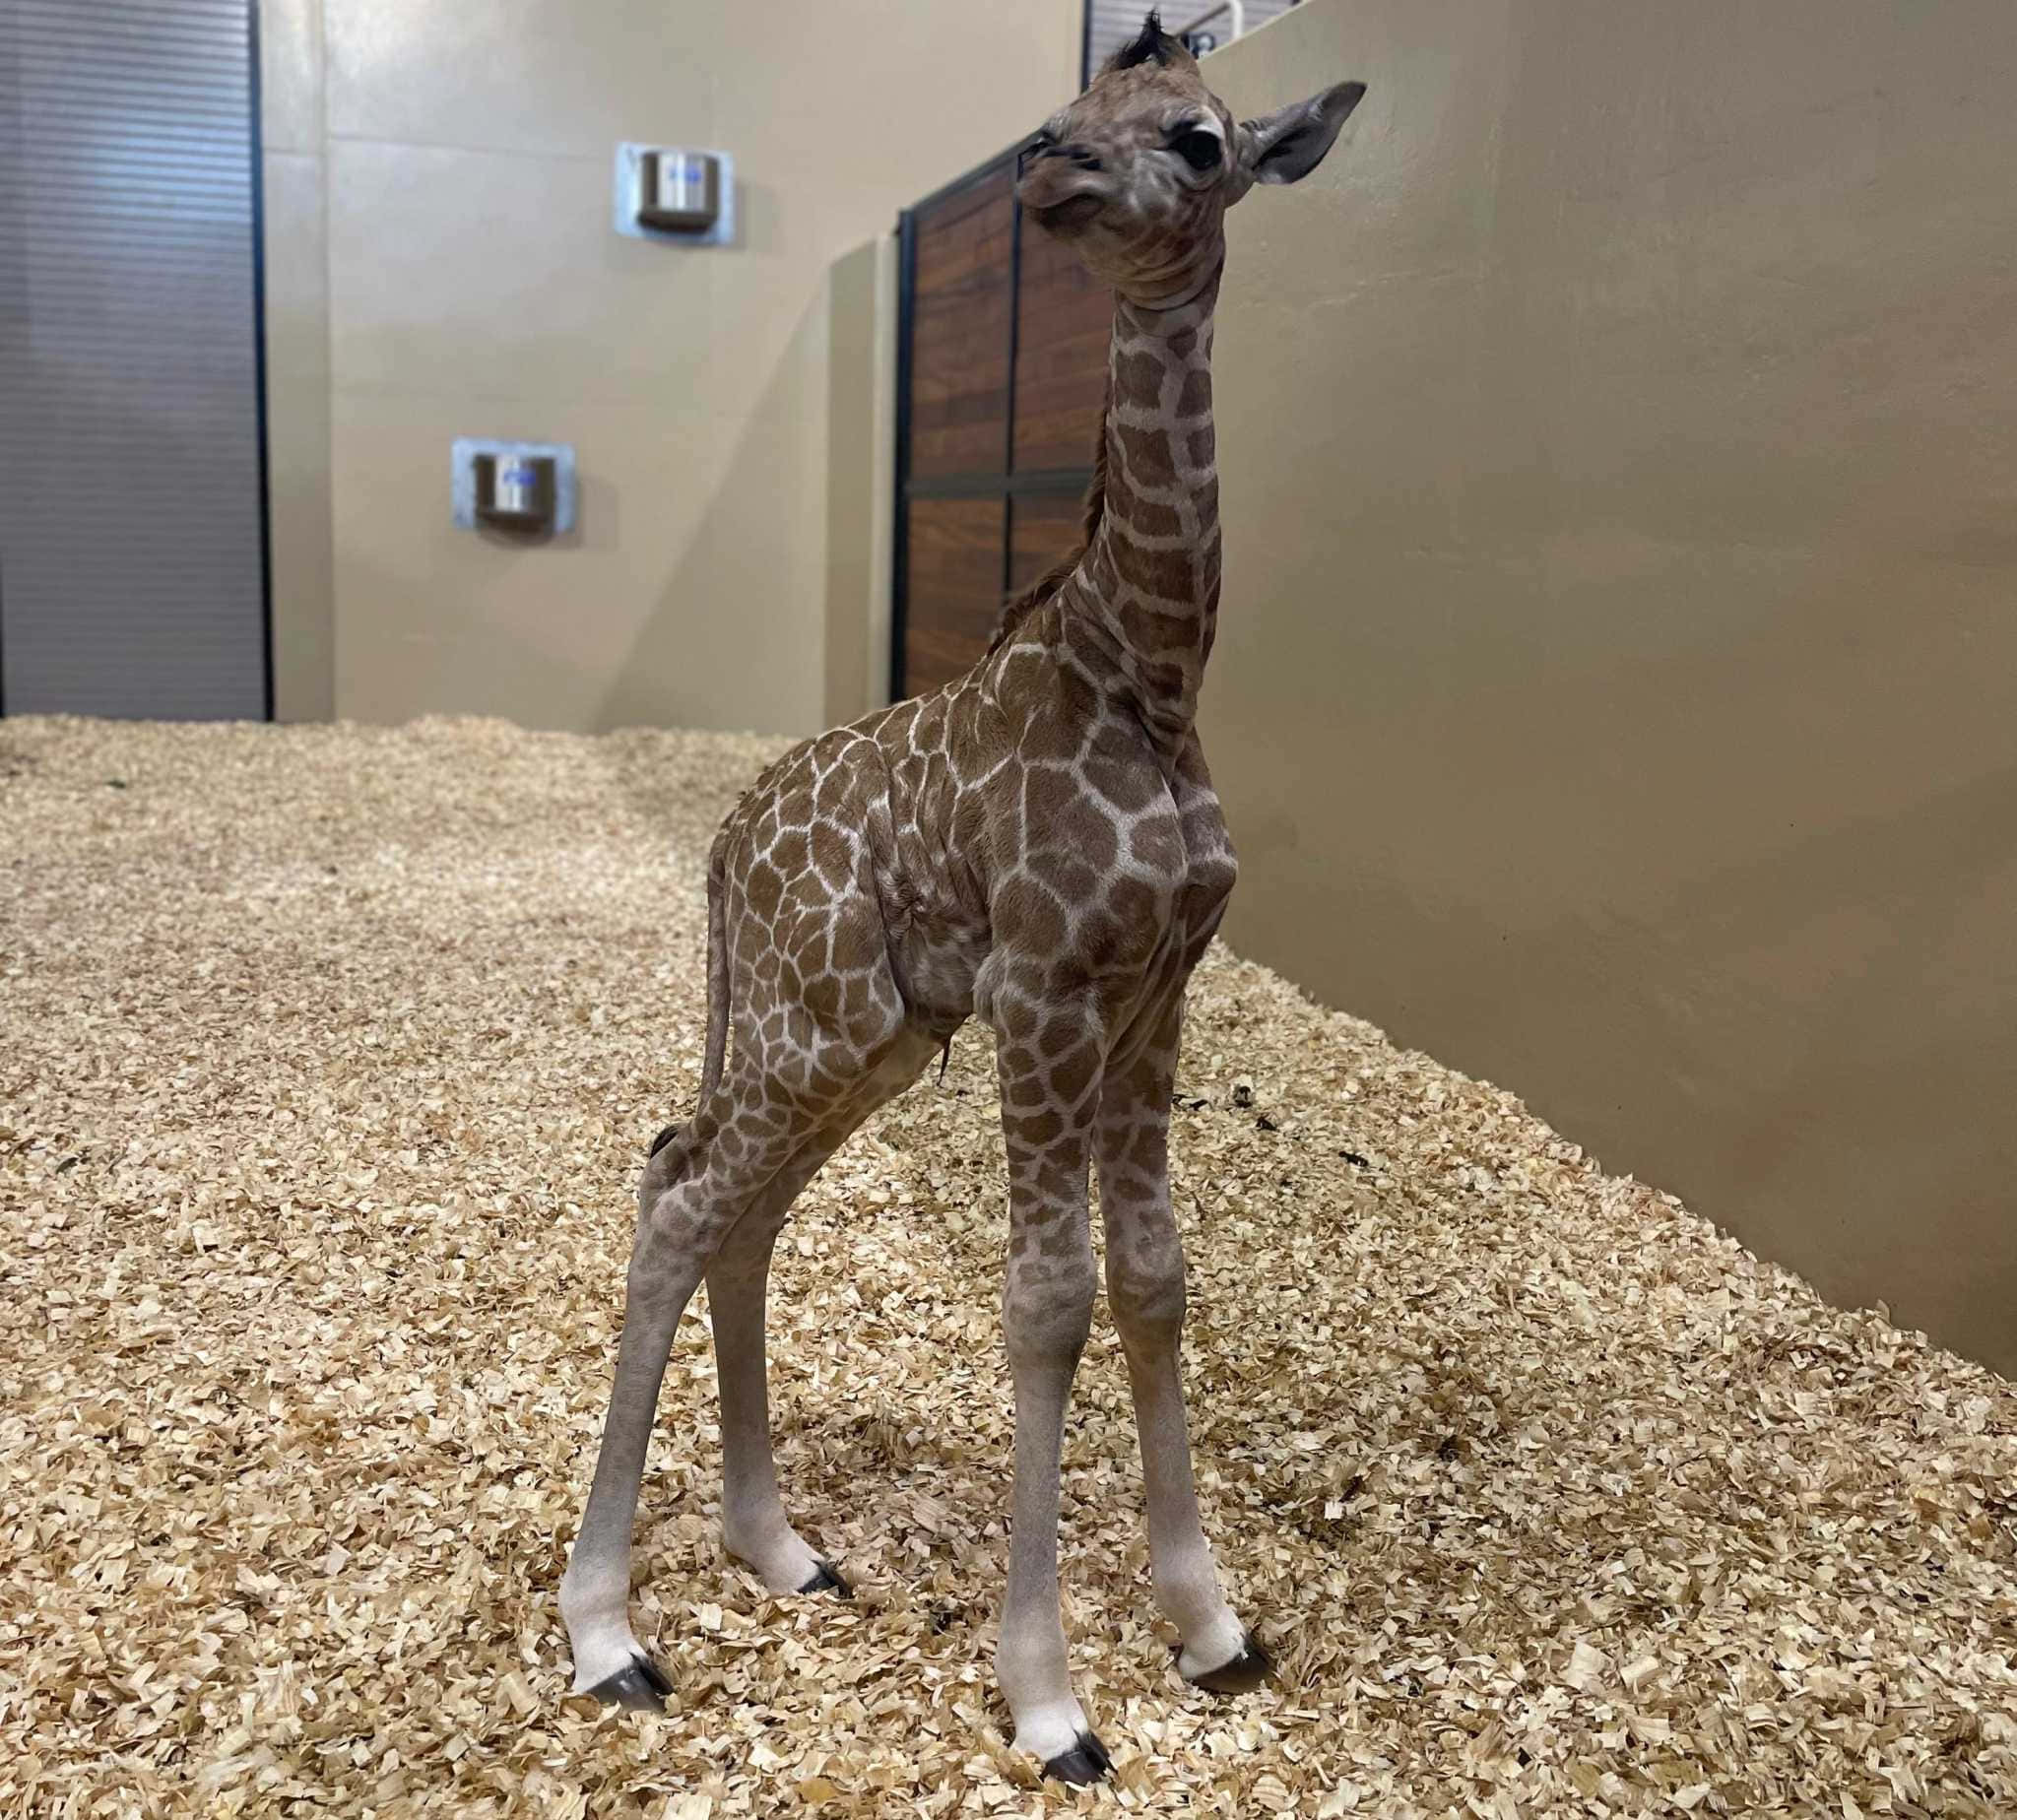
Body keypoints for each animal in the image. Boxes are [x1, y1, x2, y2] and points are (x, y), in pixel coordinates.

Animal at [559, 14, 1365, 1783]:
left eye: (1198, 138)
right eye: (1067, 110)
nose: (1055, 176)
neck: (1147, 675)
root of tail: (720, 847)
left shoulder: (1155, 992)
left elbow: (1155, 1278)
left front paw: (1210, 1626)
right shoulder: (1048, 990)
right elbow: (1047, 1304)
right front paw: (1051, 1697)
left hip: (860, 1041)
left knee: (734, 1207)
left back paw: (779, 1547)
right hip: (815, 1027)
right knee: (676, 1196)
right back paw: (605, 1632)